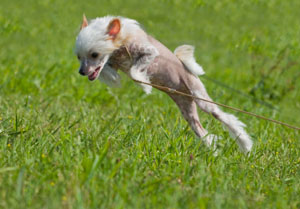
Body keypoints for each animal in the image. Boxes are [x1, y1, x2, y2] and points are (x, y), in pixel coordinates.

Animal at [75, 14, 253, 152]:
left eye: (94, 54)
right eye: (79, 57)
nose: (82, 72)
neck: (122, 43)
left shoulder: (148, 52)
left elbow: (135, 71)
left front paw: (144, 85)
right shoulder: (112, 62)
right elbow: (108, 69)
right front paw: (114, 77)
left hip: (201, 98)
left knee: (224, 116)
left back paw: (244, 143)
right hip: (187, 109)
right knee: (203, 132)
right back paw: (213, 152)